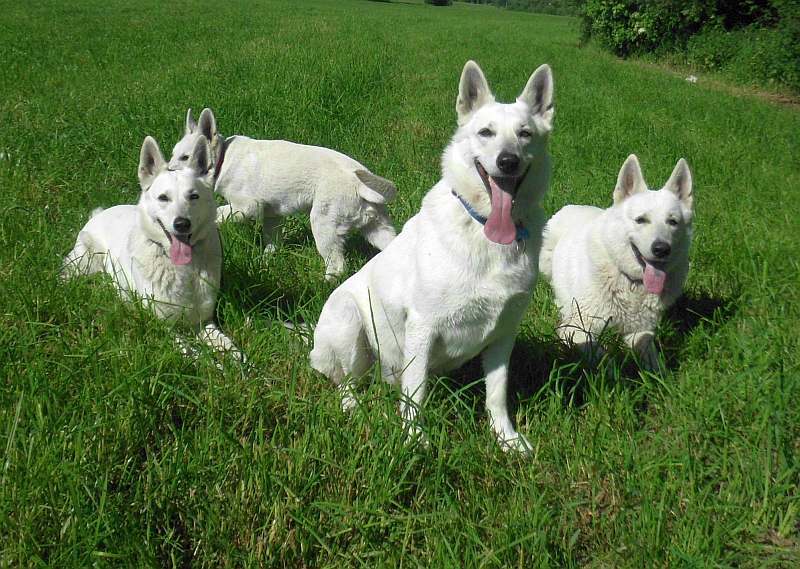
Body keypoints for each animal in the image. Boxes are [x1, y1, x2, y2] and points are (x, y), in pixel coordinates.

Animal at [62, 134, 241, 360]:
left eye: (193, 196)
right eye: (163, 197)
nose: (182, 224)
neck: (183, 269)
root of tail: (99, 213)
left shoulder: (204, 322)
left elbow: (233, 350)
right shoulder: (166, 328)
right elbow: (194, 355)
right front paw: (212, 364)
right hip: (87, 261)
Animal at [170, 107, 400, 280]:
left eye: (186, 158)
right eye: (173, 155)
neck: (223, 158)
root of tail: (360, 184)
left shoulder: (247, 207)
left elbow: (218, 214)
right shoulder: (272, 216)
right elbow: (272, 242)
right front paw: (265, 261)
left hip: (323, 224)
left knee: (337, 266)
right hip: (376, 228)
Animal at [310, 60, 552, 450]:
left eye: (525, 134)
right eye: (485, 132)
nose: (508, 161)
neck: (483, 228)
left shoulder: (504, 334)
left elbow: (497, 394)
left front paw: (507, 439)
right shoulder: (422, 327)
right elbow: (415, 393)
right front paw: (414, 440)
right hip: (349, 319)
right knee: (346, 382)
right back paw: (355, 408)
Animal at [536, 154, 692, 368]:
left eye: (673, 222)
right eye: (641, 220)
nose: (661, 249)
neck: (631, 283)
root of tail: (571, 205)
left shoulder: (641, 331)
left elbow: (654, 363)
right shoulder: (575, 329)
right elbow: (603, 359)